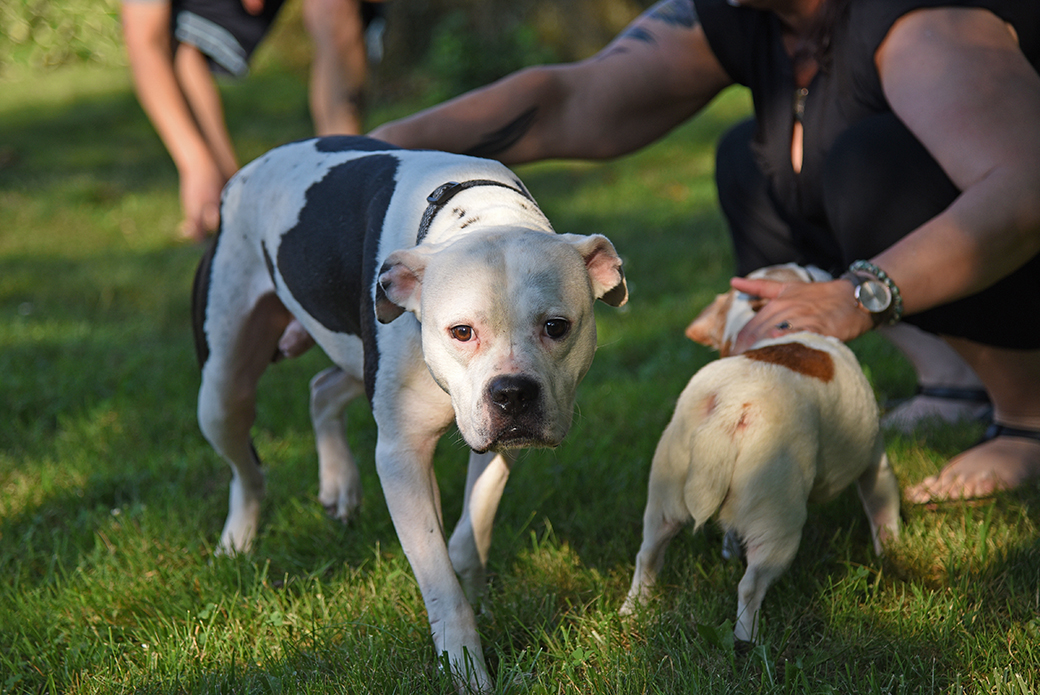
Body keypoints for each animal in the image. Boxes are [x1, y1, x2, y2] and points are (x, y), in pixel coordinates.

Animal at [192, 137, 624, 690]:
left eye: (556, 326)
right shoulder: (401, 456)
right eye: (461, 331)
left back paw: (338, 482)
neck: (480, 214)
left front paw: (477, 593)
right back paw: (237, 541)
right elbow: (439, 582)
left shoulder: (497, 443)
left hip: (354, 357)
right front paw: (467, 670)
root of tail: (240, 178)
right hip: (222, 389)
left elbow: (470, 532)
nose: (512, 393)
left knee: (321, 389)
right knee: (247, 468)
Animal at [619, 264, 898, 640]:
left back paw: (632, 612)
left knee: (647, 556)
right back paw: (747, 639)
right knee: (750, 586)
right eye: (806, 271)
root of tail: (732, 406)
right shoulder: (875, 463)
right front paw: (892, 556)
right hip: (778, 522)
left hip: (665, 498)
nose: (820, 267)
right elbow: (884, 515)